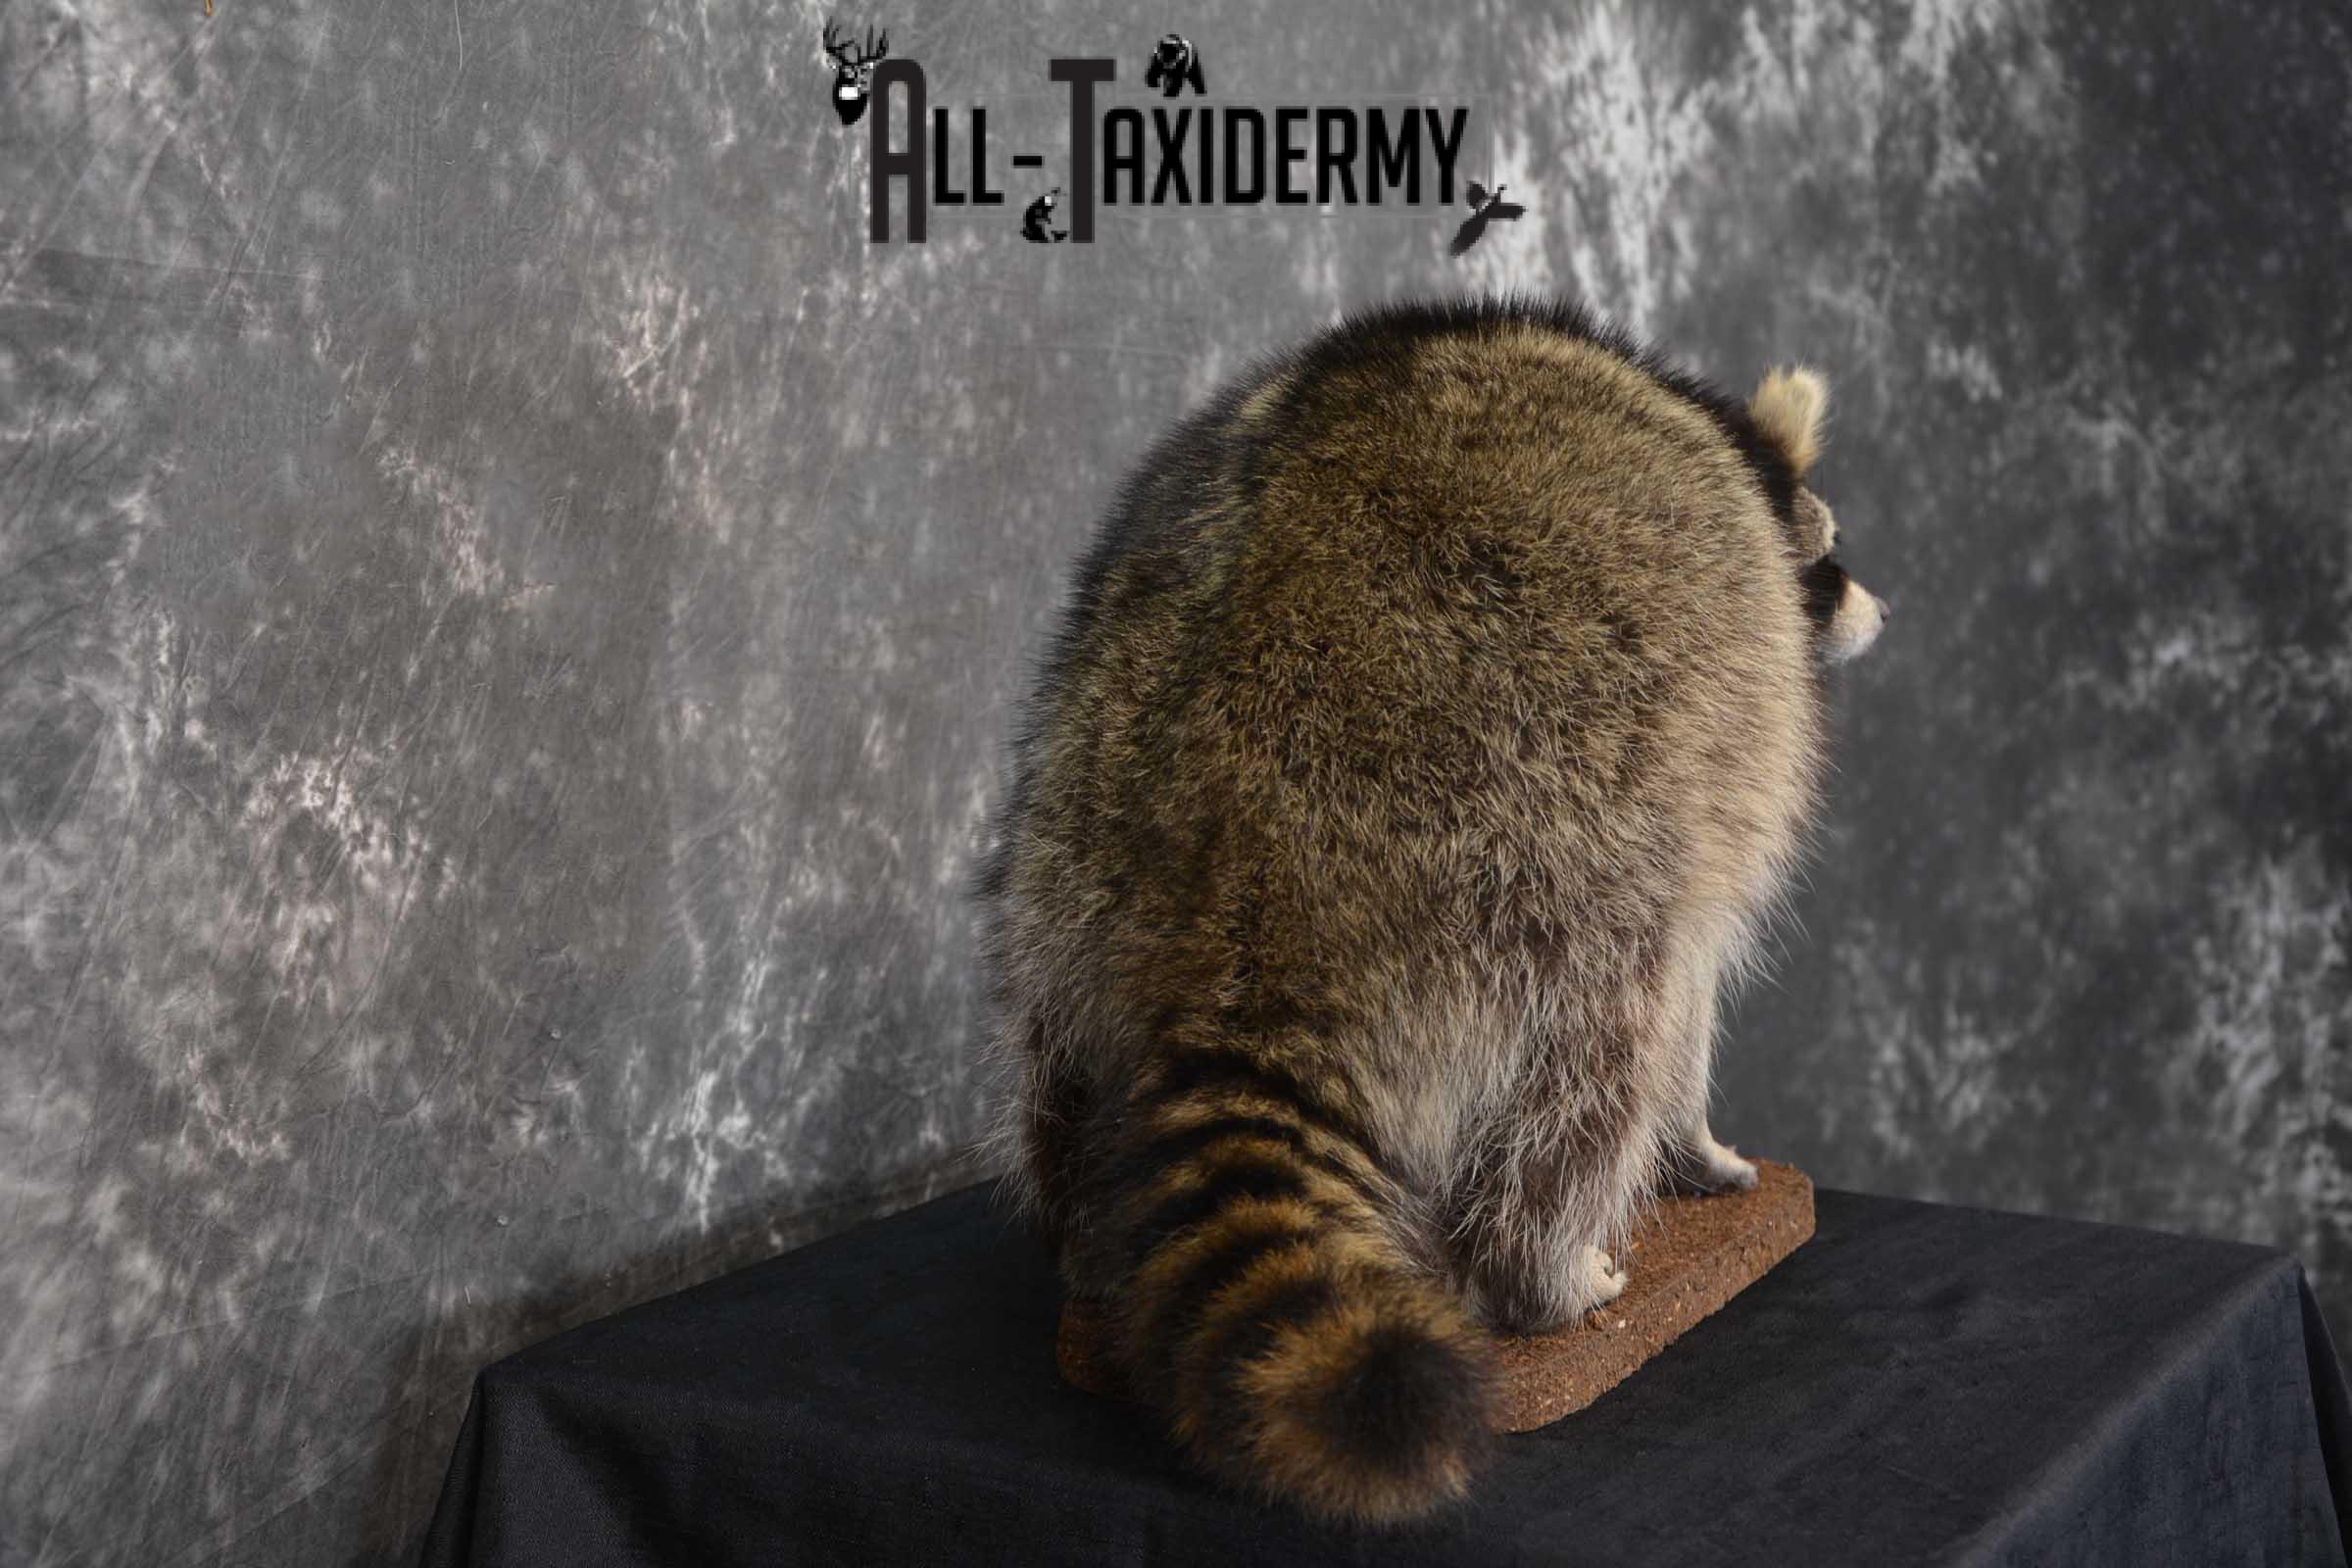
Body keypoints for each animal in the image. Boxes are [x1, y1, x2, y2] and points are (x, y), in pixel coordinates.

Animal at [969, 295, 1884, 1526]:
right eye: (1827, 556)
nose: (1875, 604)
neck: (1708, 425)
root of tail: (1241, 891)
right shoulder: (1732, 717)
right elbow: (1697, 979)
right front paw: (1696, 1144)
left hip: (1069, 840)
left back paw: (1082, 1258)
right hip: (1540, 853)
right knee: (1606, 1045)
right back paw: (1548, 1272)